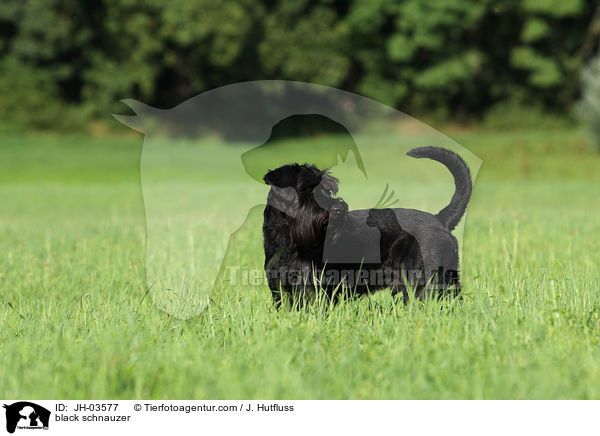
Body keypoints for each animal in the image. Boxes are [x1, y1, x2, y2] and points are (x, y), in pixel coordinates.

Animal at [260, 146, 472, 306]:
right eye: (306, 188)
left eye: (328, 189)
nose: (338, 208)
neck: (288, 238)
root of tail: (440, 220)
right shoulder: (280, 289)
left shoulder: (317, 287)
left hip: (423, 282)